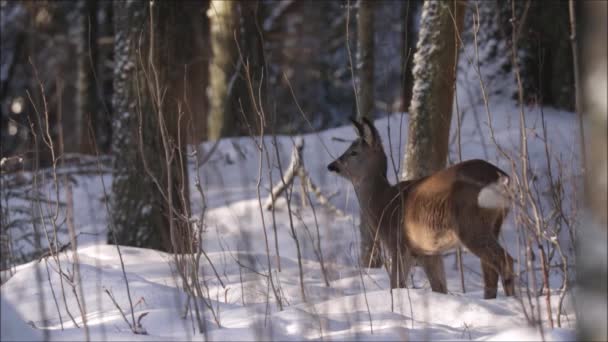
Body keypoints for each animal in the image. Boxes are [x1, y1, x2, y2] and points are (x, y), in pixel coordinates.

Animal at [330, 117, 516, 300]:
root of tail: (501, 178)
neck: (383, 203)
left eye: (353, 152)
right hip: (493, 225)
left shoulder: (398, 244)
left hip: (470, 224)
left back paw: (511, 300)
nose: (332, 165)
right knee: (490, 268)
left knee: (505, 260)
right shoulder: (429, 252)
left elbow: (396, 285)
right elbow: (440, 287)